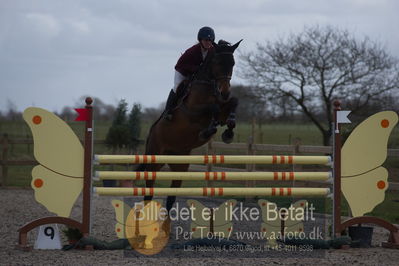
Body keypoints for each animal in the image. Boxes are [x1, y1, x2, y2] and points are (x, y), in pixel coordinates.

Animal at [134, 40, 242, 212]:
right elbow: (213, 108)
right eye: (218, 62)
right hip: (154, 160)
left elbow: (233, 103)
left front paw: (229, 131)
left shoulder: (222, 111)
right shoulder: (193, 111)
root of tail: (150, 133)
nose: (224, 92)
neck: (208, 85)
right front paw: (208, 131)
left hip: (180, 165)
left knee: (171, 196)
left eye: (232, 63)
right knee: (148, 192)